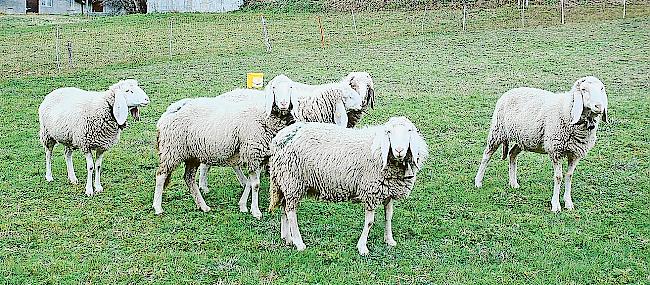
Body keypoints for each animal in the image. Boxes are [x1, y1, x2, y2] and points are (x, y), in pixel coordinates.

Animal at [151, 74, 294, 216]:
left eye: (291, 88)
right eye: (274, 88)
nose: (283, 104)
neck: (264, 116)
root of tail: (170, 111)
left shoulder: (258, 155)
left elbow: (250, 183)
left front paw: (243, 205)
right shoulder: (253, 153)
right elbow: (255, 185)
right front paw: (255, 210)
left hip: (192, 155)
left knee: (189, 178)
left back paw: (203, 205)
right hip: (172, 151)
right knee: (161, 175)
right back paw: (158, 207)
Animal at [268, 116, 426, 255]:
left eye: (409, 131)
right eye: (389, 132)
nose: (399, 150)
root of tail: (280, 138)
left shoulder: (387, 192)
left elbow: (389, 216)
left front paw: (389, 240)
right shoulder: (371, 192)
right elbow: (370, 222)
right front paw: (362, 247)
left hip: (285, 182)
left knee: (284, 208)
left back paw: (287, 238)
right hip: (292, 180)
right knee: (291, 212)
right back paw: (299, 243)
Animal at [470, 75, 608, 211]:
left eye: (601, 89)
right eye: (584, 89)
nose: (599, 106)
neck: (568, 110)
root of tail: (510, 91)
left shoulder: (575, 153)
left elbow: (569, 175)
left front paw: (568, 202)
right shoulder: (555, 150)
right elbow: (558, 177)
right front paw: (555, 205)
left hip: (523, 138)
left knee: (512, 154)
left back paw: (513, 183)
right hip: (498, 131)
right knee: (487, 155)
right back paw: (478, 181)